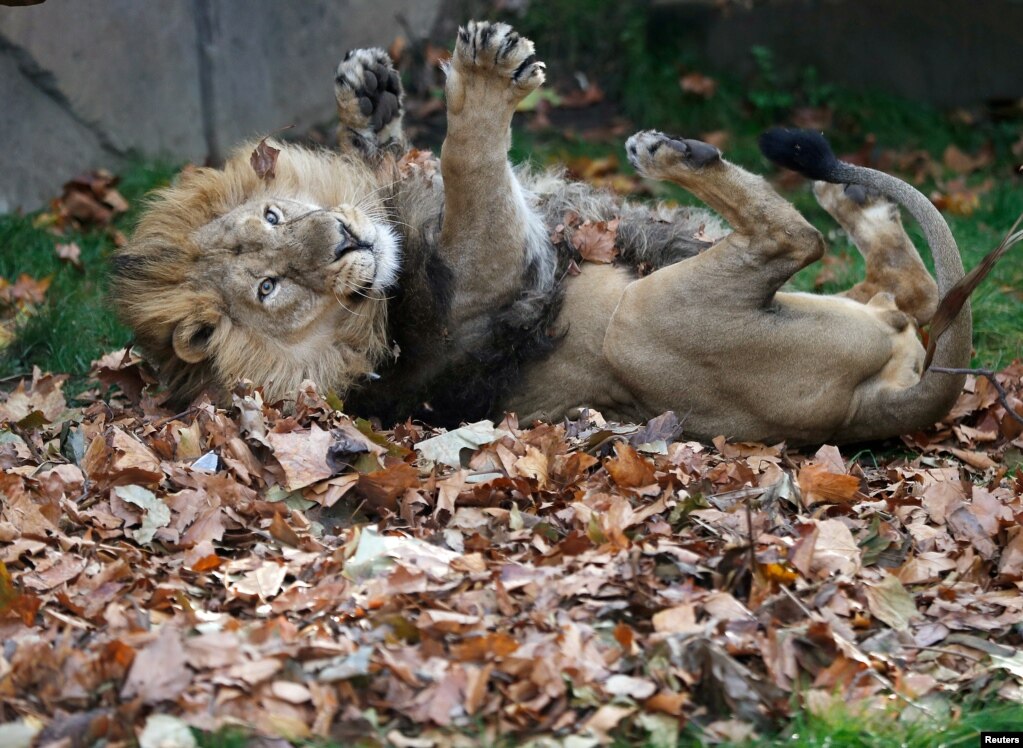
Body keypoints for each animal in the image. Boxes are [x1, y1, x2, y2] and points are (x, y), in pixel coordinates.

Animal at [112, 20, 965, 448]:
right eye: (271, 287)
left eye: (274, 219)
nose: (345, 245)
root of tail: (876, 410)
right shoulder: (490, 268)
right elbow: (468, 161)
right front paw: (485, 76)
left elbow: (398, 156)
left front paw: (369, 92)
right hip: (643, 325)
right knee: (793, 241)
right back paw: (672, 155)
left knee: (910, 285)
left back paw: (850, 199)